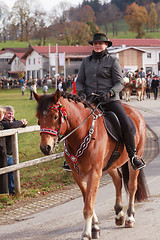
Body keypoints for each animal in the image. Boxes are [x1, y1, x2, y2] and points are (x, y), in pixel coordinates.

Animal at [33, 90, 149, 240]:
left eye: (55, 116)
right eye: (39, 120)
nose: (45, 147)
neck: (81, 134)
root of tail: (135, 112)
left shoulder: (94, 172)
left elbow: (88, 205)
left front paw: (86, 234)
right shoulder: (78, 174)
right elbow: (87, 199)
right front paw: (94, 228)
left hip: (134, 158)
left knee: (132, 185)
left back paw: (129, 218)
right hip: (109, 164)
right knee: (118, 180)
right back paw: (119, 215)